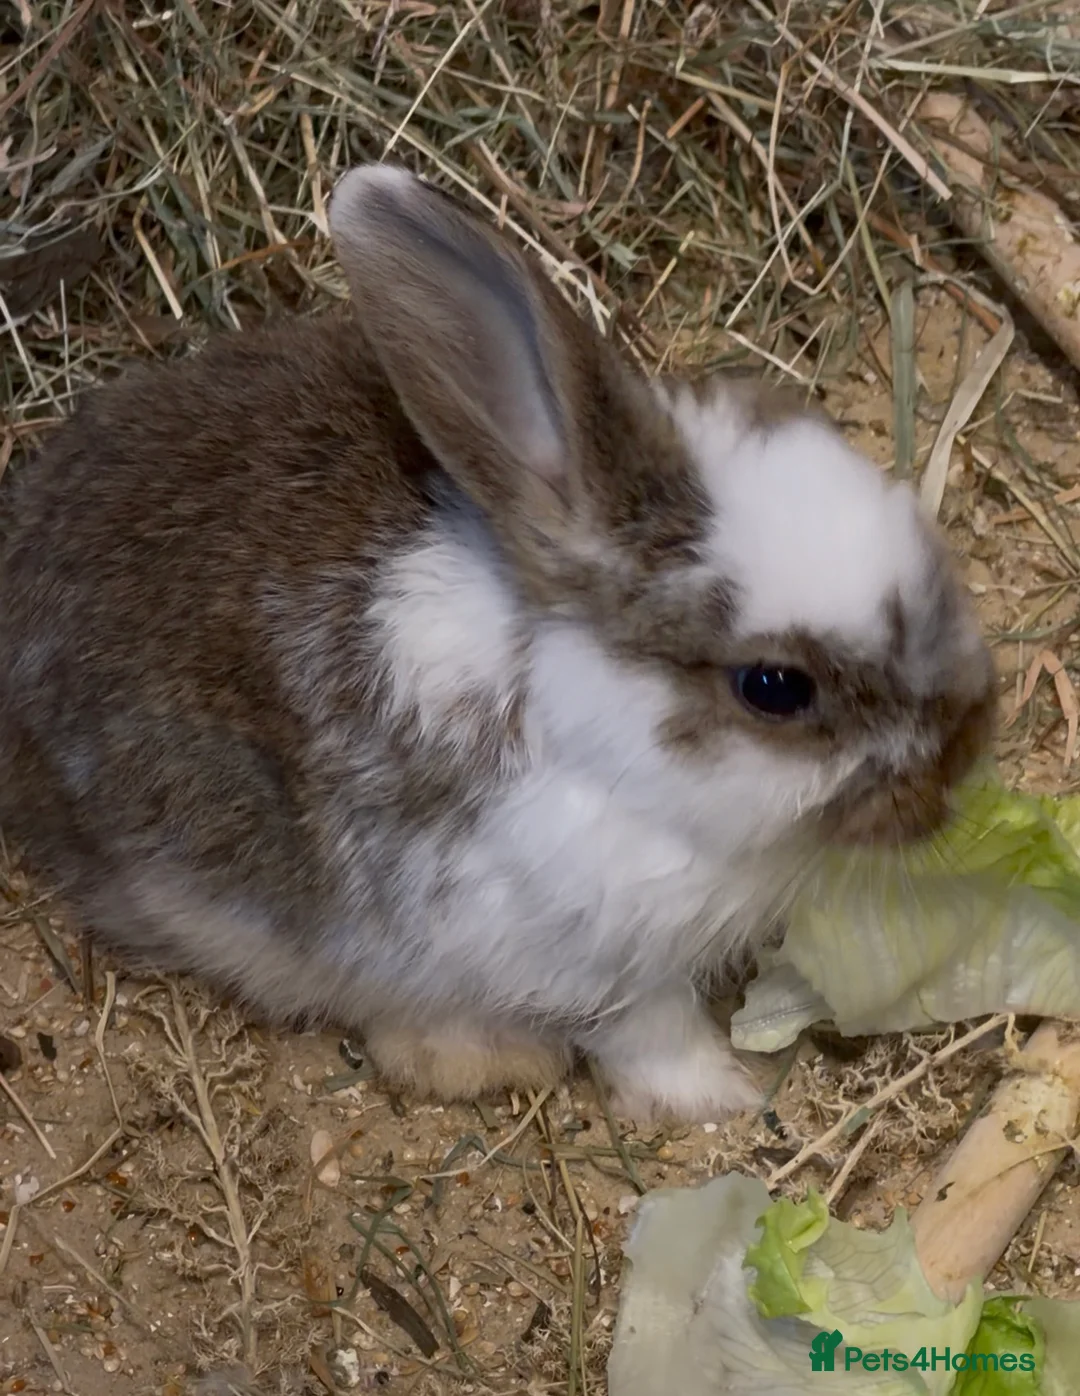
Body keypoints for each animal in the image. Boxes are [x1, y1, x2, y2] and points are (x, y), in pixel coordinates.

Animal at [0, 164, 997, 1124]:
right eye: (775, 687)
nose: (959, 762)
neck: (605, 744)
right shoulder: (602, 959)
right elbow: (653, 1037)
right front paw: (721, 1099)